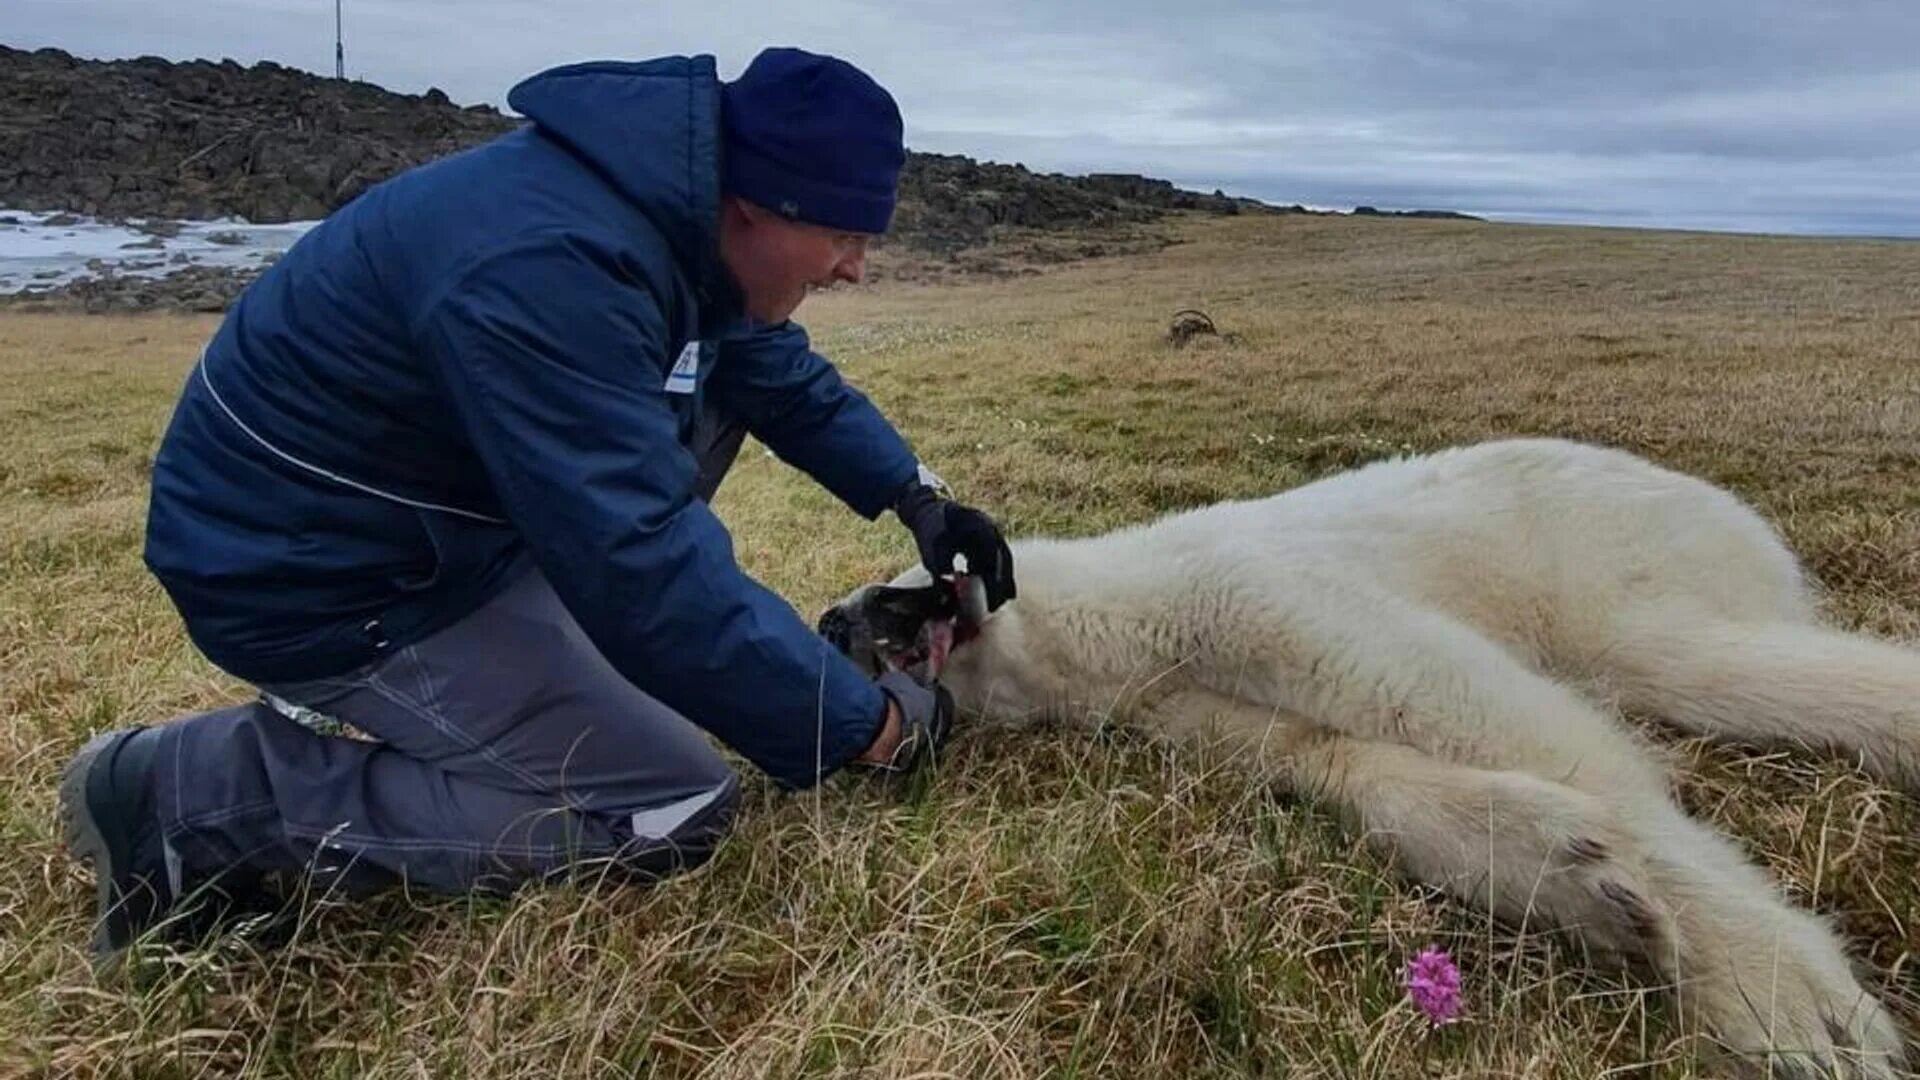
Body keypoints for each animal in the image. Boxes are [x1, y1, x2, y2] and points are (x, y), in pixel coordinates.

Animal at [817, 438, 1912, 1076]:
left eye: (891, 585)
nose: (832, 622)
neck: (1112, 620)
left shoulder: (1243, 592)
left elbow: (1462, 703)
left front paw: (1786, 1000)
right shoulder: (1184, 701)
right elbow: (1336, 759)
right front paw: (1580, 879)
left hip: (1613, 551)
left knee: (1687, 655)